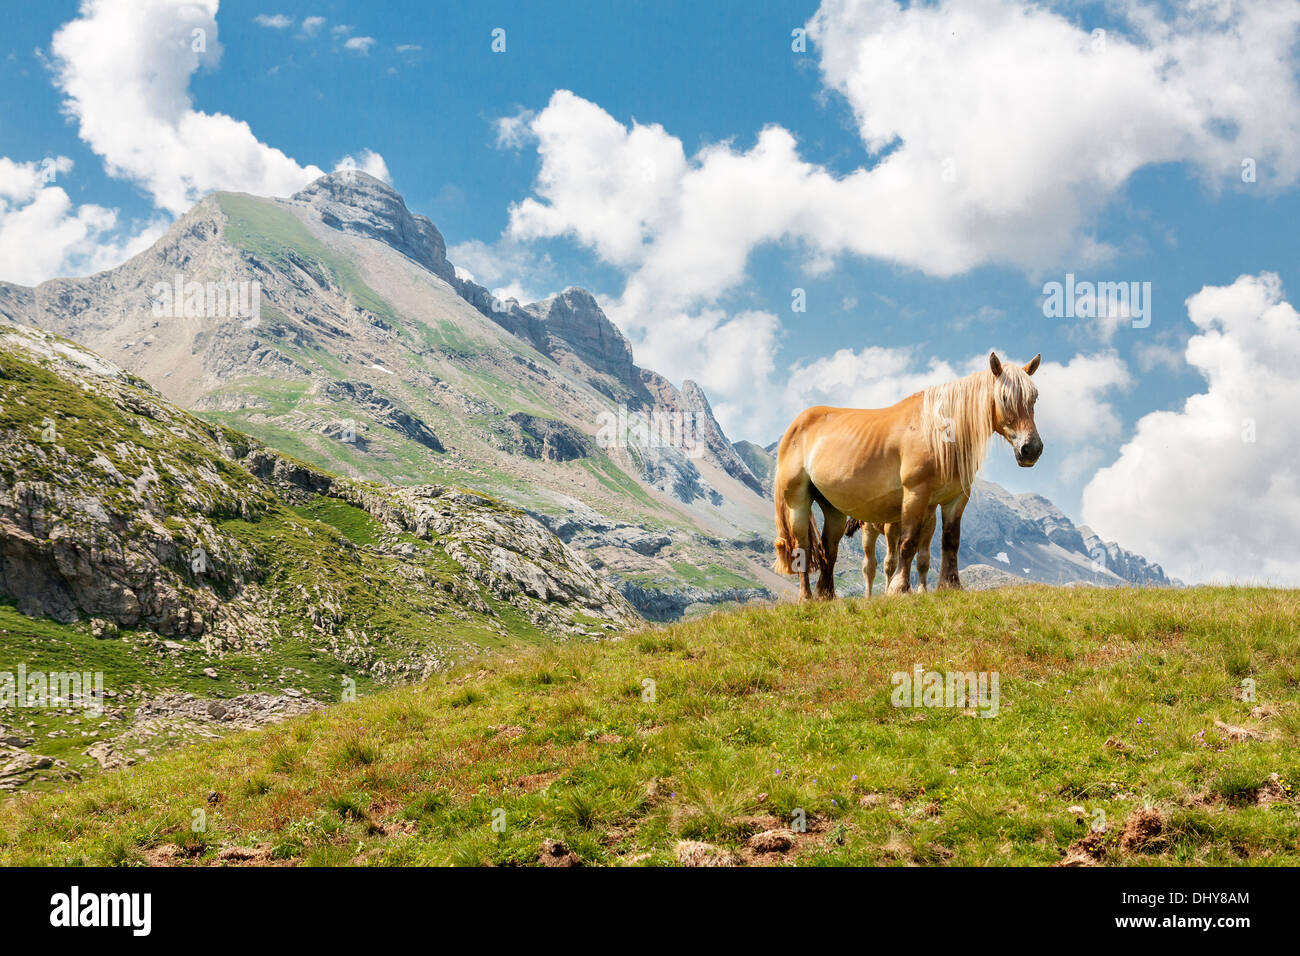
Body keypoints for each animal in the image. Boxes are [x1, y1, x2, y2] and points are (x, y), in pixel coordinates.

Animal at [769, 351, 1045, 600]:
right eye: (1005, 397)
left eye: (1034, 398)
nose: (1031, 449)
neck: (938, 432)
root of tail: (797, 425)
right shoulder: (915, 494)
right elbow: (908, 543)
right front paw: (900, 588)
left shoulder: (954, 499)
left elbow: (950, 541)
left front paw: (950, 585)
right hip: (798, 503)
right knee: (803, 549)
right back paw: (806, 597)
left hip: (833, 509)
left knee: (829, 550)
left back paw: (826, 596)